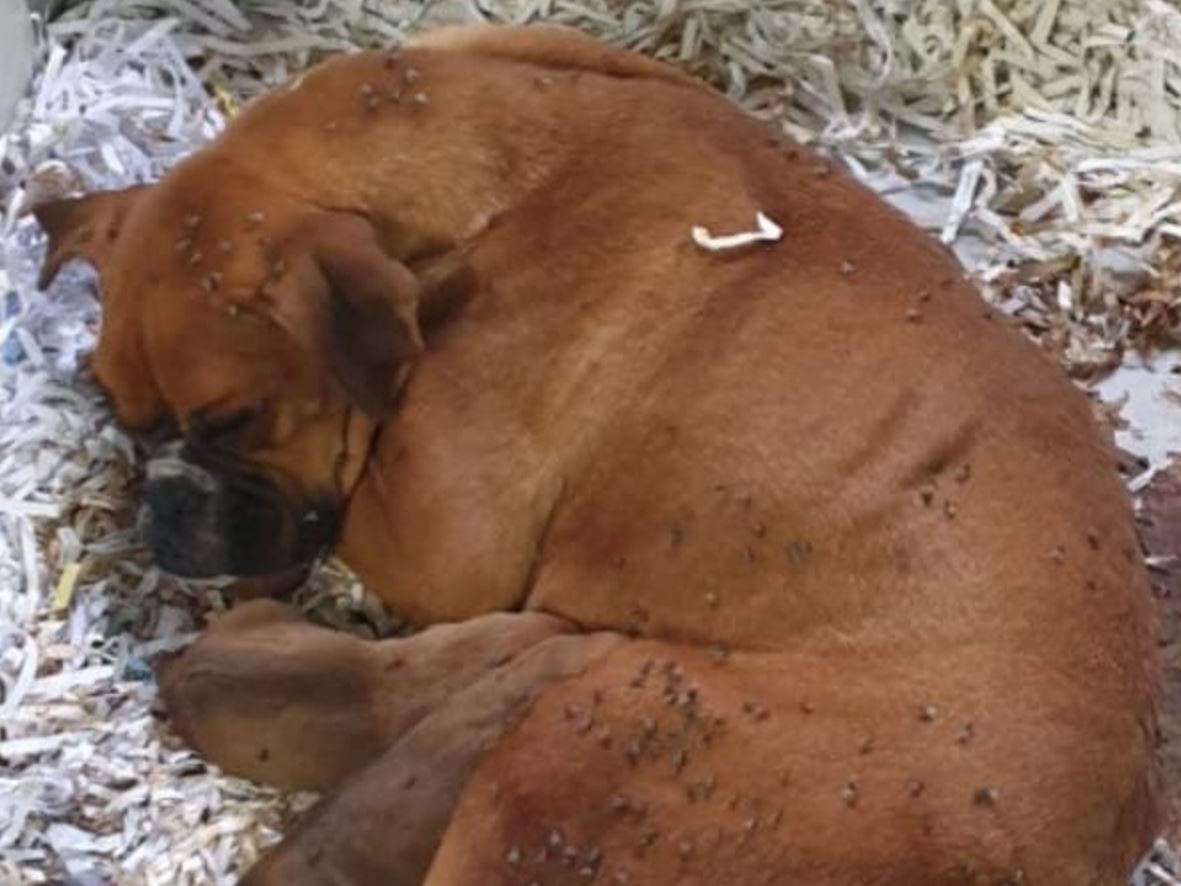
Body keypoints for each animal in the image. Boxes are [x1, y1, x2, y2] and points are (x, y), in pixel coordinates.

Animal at [32, 24, 1157, 883]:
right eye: (122, 413)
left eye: (235, 420)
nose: (163, 510)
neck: (500, 176)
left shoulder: (437, 542)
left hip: (578, 740)